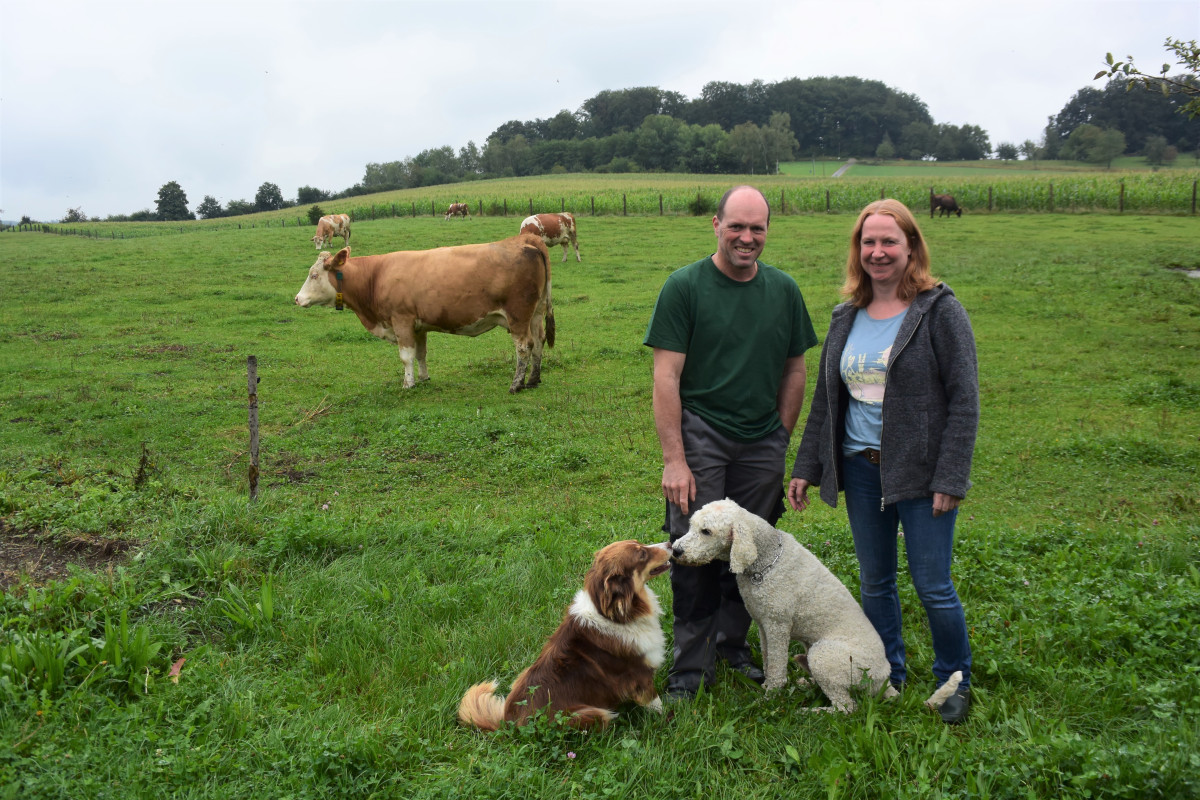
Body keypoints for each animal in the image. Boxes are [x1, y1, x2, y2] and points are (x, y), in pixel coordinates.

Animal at [292, 232, 554, 393]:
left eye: (314, 275)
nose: (297, 299)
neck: (376, 276)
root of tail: (526, 240)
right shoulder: (418, 326)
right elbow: (420, 354)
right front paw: (424, 378)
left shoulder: (401, 320)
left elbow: (406, 356)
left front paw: (408, 384)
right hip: (536, 313)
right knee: (539, 342)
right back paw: (533, 379)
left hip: (518, 315)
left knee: (524, 346)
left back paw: (516, 384)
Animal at [456, 542, 672, 729]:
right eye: (642, 554)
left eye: (640, 544)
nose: (670, 543)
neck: (618, 615)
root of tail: (509, 723)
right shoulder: (639, 675)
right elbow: (656, 703)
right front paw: (668, 719)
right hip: (593, 714)